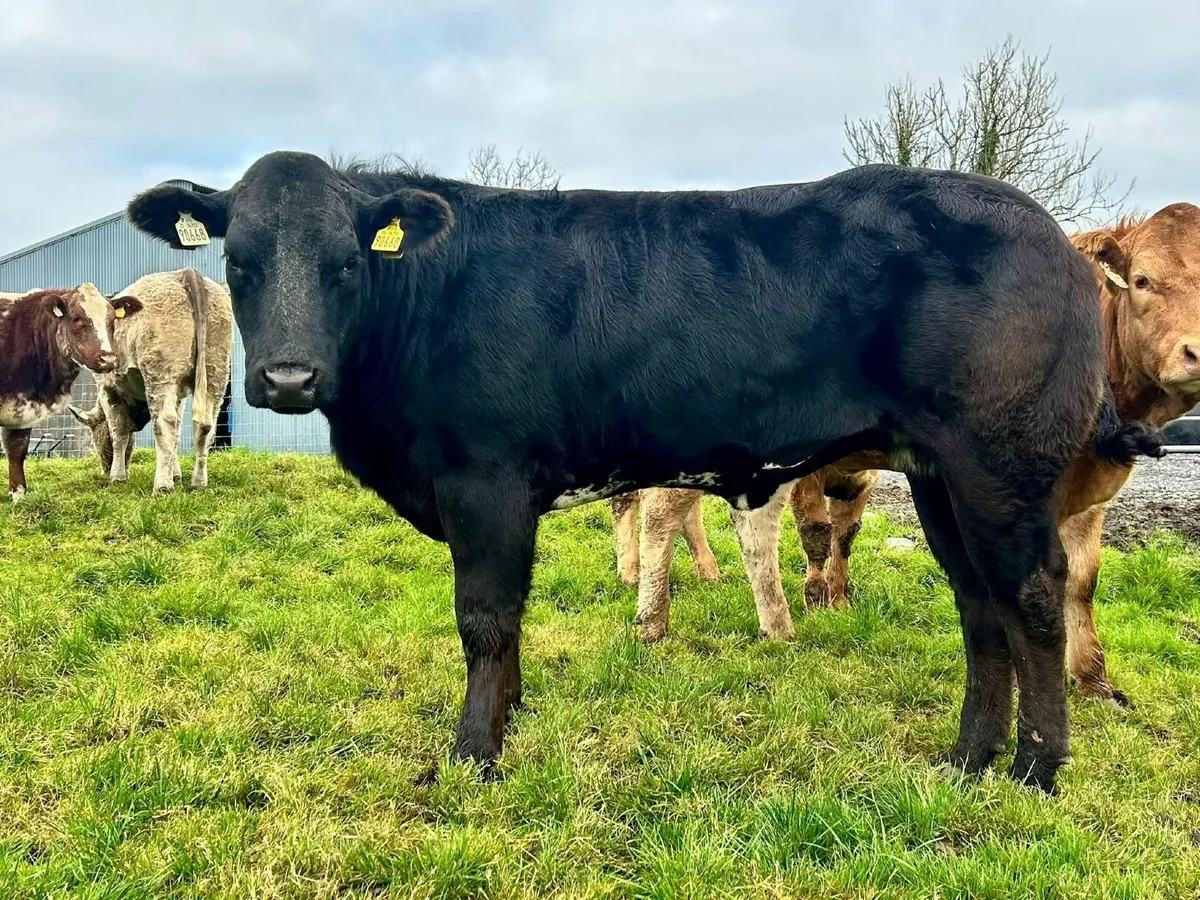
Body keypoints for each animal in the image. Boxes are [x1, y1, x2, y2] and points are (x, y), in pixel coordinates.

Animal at [0, 284, 130, 500]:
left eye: (112, 319)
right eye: (76, 318)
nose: (108, 358)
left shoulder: (23, 407)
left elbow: (17, 449)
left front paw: (18, 495)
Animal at [68, 268, 233, 492]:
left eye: (96, 439)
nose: (105, 469)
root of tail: (185, 273)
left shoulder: (107, 389)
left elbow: (119, 432)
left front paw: (117, 476)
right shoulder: (179, 392)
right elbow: (177, 434)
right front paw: (176, 474)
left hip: (160, 373)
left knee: (164, 422)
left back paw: (162, 485)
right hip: (216, 368)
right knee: (205, 424)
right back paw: (198, 482)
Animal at [620, 202, 1198, 711]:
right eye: (1142, 280)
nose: (1195, 352)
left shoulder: (1090, 495)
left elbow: (1082, 579)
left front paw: (1093, 681)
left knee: (748, 530)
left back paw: (771, 626)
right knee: (661, 512)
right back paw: (653, 620)